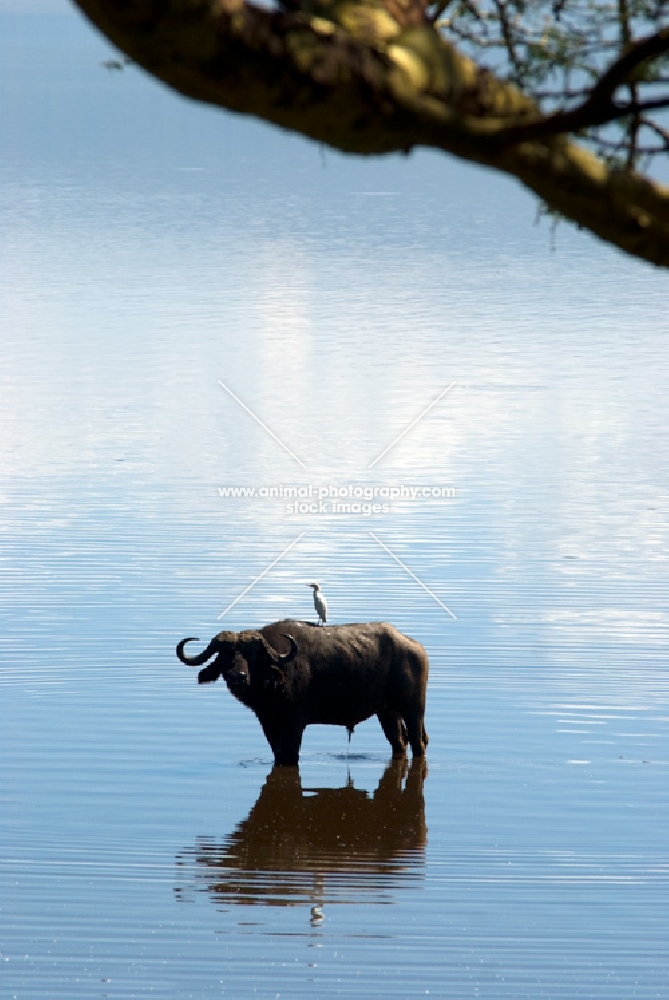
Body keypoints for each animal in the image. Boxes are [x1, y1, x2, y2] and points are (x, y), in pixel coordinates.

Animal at [176, 616, 428, 764]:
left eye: (253, 655)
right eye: (225, 654)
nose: (237, 676)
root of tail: (415, 647)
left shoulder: (294, 722)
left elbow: (289, 753)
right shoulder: (268, 721)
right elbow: (278, 753)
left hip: (413, 709)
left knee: (419, 741)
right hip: (387, 711)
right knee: (399, 741)